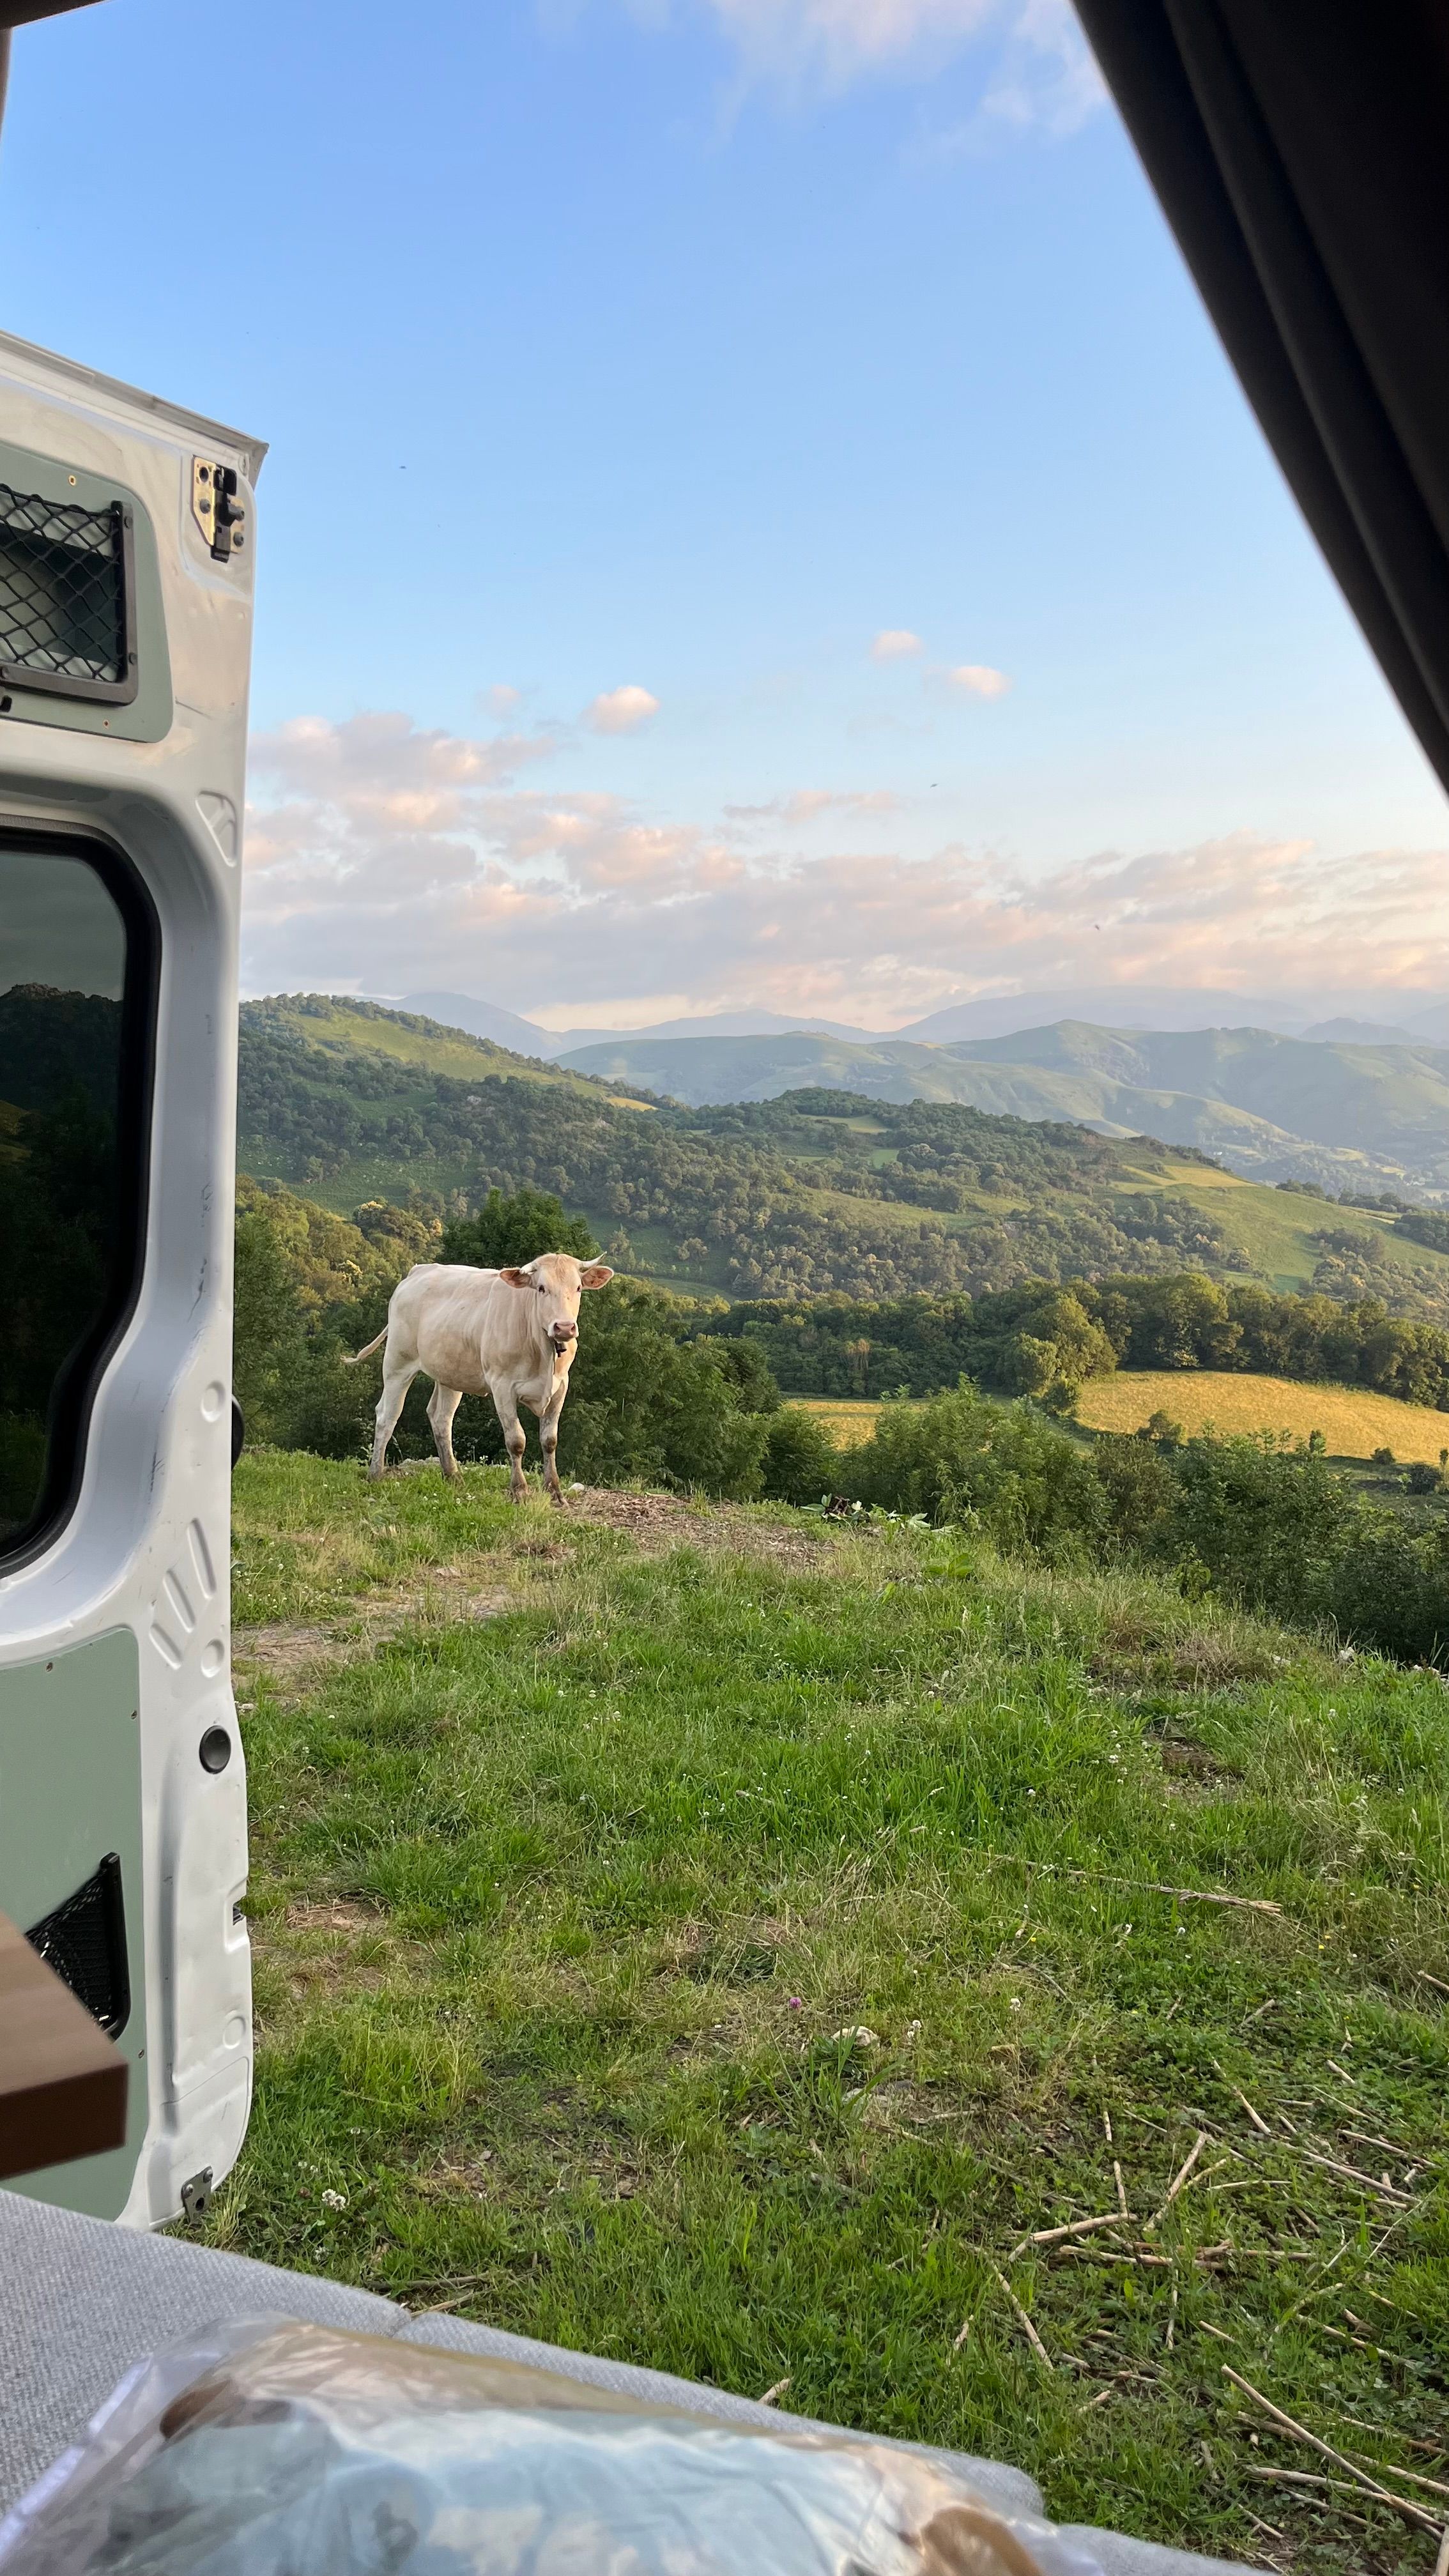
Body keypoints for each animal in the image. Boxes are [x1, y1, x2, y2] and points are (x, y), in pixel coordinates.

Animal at [348, 1252, 611, 1504]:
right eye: (541, 1288)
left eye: (578, 1288)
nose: (564, 1328)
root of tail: (419, 1271)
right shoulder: (503, 1386)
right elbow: (516, 1441)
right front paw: (520, 1491)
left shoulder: (561, 1386)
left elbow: (550, 1440)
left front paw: (555, 1491)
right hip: (398, 1361)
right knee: (387, 1414)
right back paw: (375, 1473)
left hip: (450, 1372)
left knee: (441, 1418)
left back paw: (452, 1475)